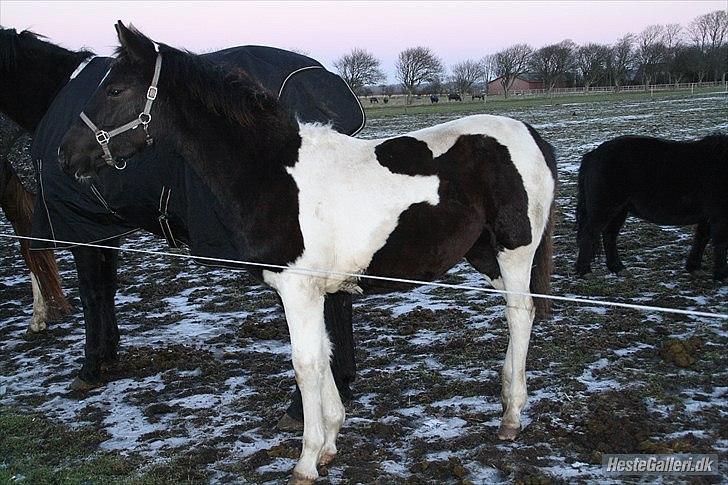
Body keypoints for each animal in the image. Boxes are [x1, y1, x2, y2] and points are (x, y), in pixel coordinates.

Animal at [58, 21, 556, 480]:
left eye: (115, 89)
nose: (67, 156)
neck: (270, 173)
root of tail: (532, 136)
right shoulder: (313, 291)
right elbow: (326, 354)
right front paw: (331, 443)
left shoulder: (297, 290)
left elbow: (306, 364)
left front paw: (305, 462)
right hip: (484, 254)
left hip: (514, 252)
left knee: (520, 314)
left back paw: (511, 418)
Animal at [576, 133, 728, 280]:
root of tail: (593, 154)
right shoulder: (719, 217)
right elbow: (720, 243)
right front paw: (721, 276)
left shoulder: (708, 217)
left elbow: (701, 239)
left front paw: (694, 268)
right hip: (605, 209)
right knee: (589, 233)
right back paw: (585, 272)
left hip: (619, 210)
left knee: (609, 235)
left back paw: (618, 268)